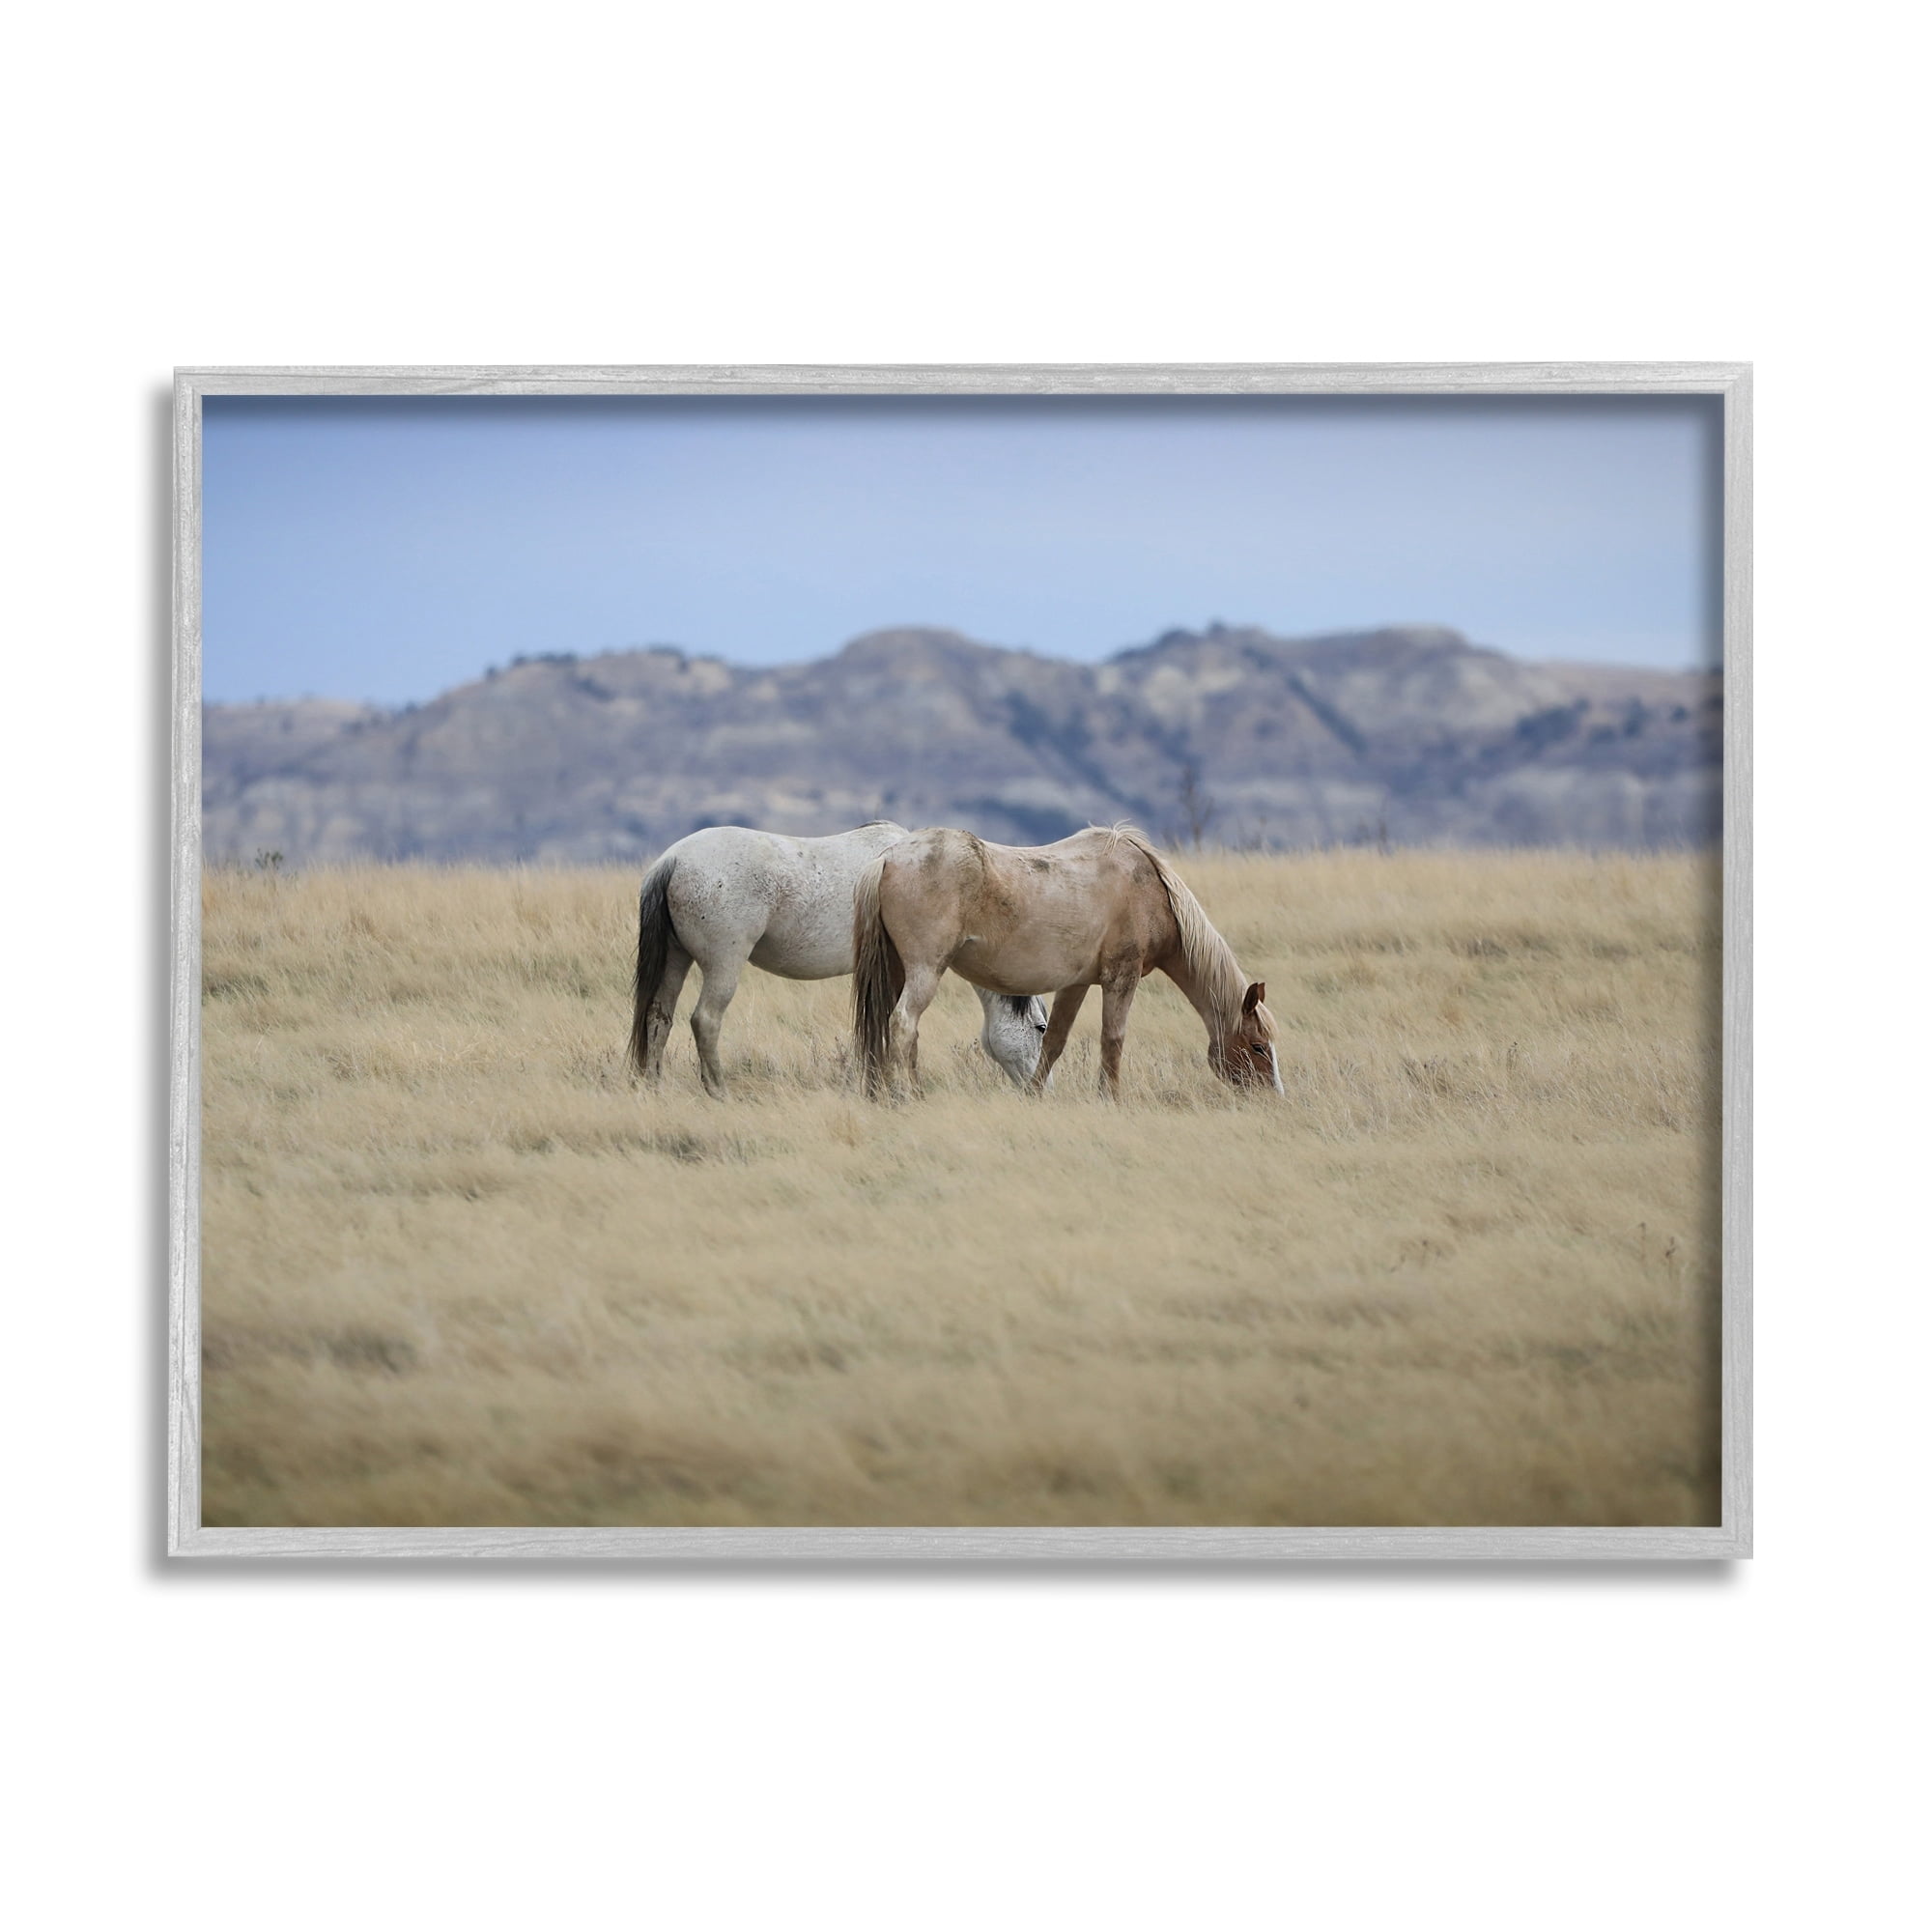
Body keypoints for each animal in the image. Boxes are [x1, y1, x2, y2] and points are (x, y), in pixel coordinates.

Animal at [628, 822, 1049, 1099]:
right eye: (1041, 1028)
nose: (1040, 1088)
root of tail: (673, 860)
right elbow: (897, 1027)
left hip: (676, 960)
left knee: (658, 1016)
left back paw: (653, 1085)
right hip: (724, 963)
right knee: (705, 1020)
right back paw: (718, 1090)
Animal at [853, 824, 1282, 1101]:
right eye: (1259, 1047)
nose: (1274, 1097)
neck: (1150, 891)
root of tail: (887, 859)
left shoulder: (1075, 984)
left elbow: (1054, 1041)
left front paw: (1034, 1096)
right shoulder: (1121, 978)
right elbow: (1113, 1039)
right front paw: (1111, 1098)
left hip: (895, 972)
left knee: (883, 1025)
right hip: (925, 971)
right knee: (904, 1024)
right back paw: (909, 1095)